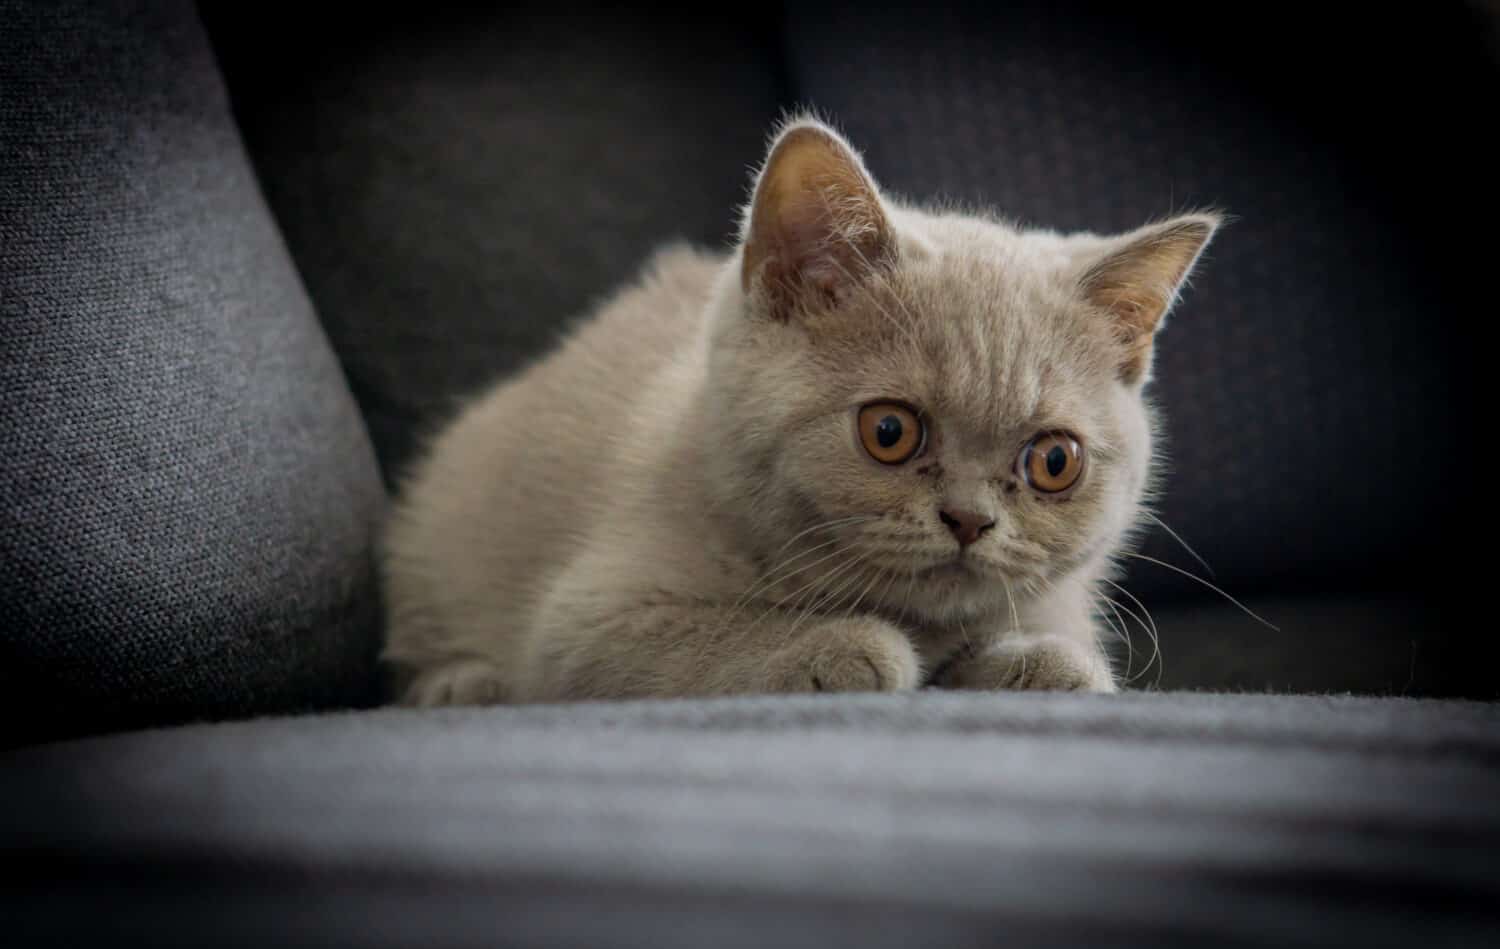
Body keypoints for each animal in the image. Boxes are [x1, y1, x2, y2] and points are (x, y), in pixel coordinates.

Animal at [375, 114, 1218, 704]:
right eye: (889, 431)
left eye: (1054, 460)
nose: (970, 520)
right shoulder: (584, 621)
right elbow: (704, 633)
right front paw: (842, 645)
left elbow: (1055, 643)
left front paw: (1039, 658)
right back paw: (460, 683)